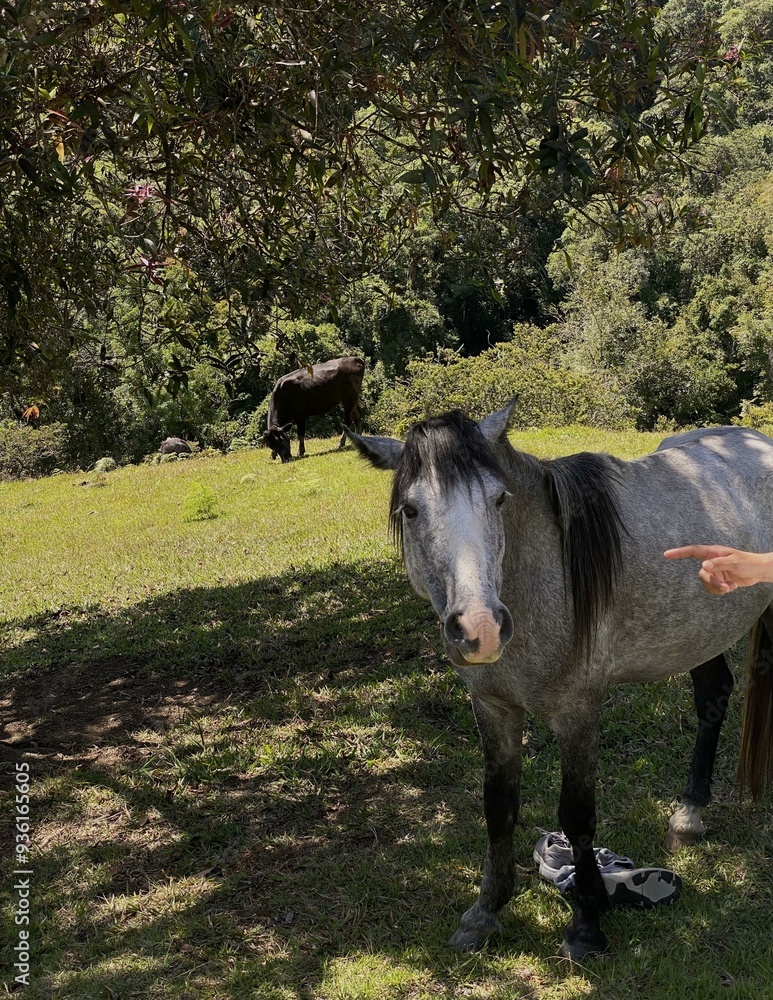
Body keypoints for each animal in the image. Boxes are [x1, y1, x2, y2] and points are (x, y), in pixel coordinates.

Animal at [346, 402, 773, 959]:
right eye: (412, 511)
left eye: (499, 499)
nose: (481, 629)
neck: (542, 576)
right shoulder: (493, 709)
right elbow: (498, 807)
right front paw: (485, 912)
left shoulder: (577, 713)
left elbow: (577, 814)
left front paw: (587, 922)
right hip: (700, 632)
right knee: (713, 698)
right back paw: (689, 813)